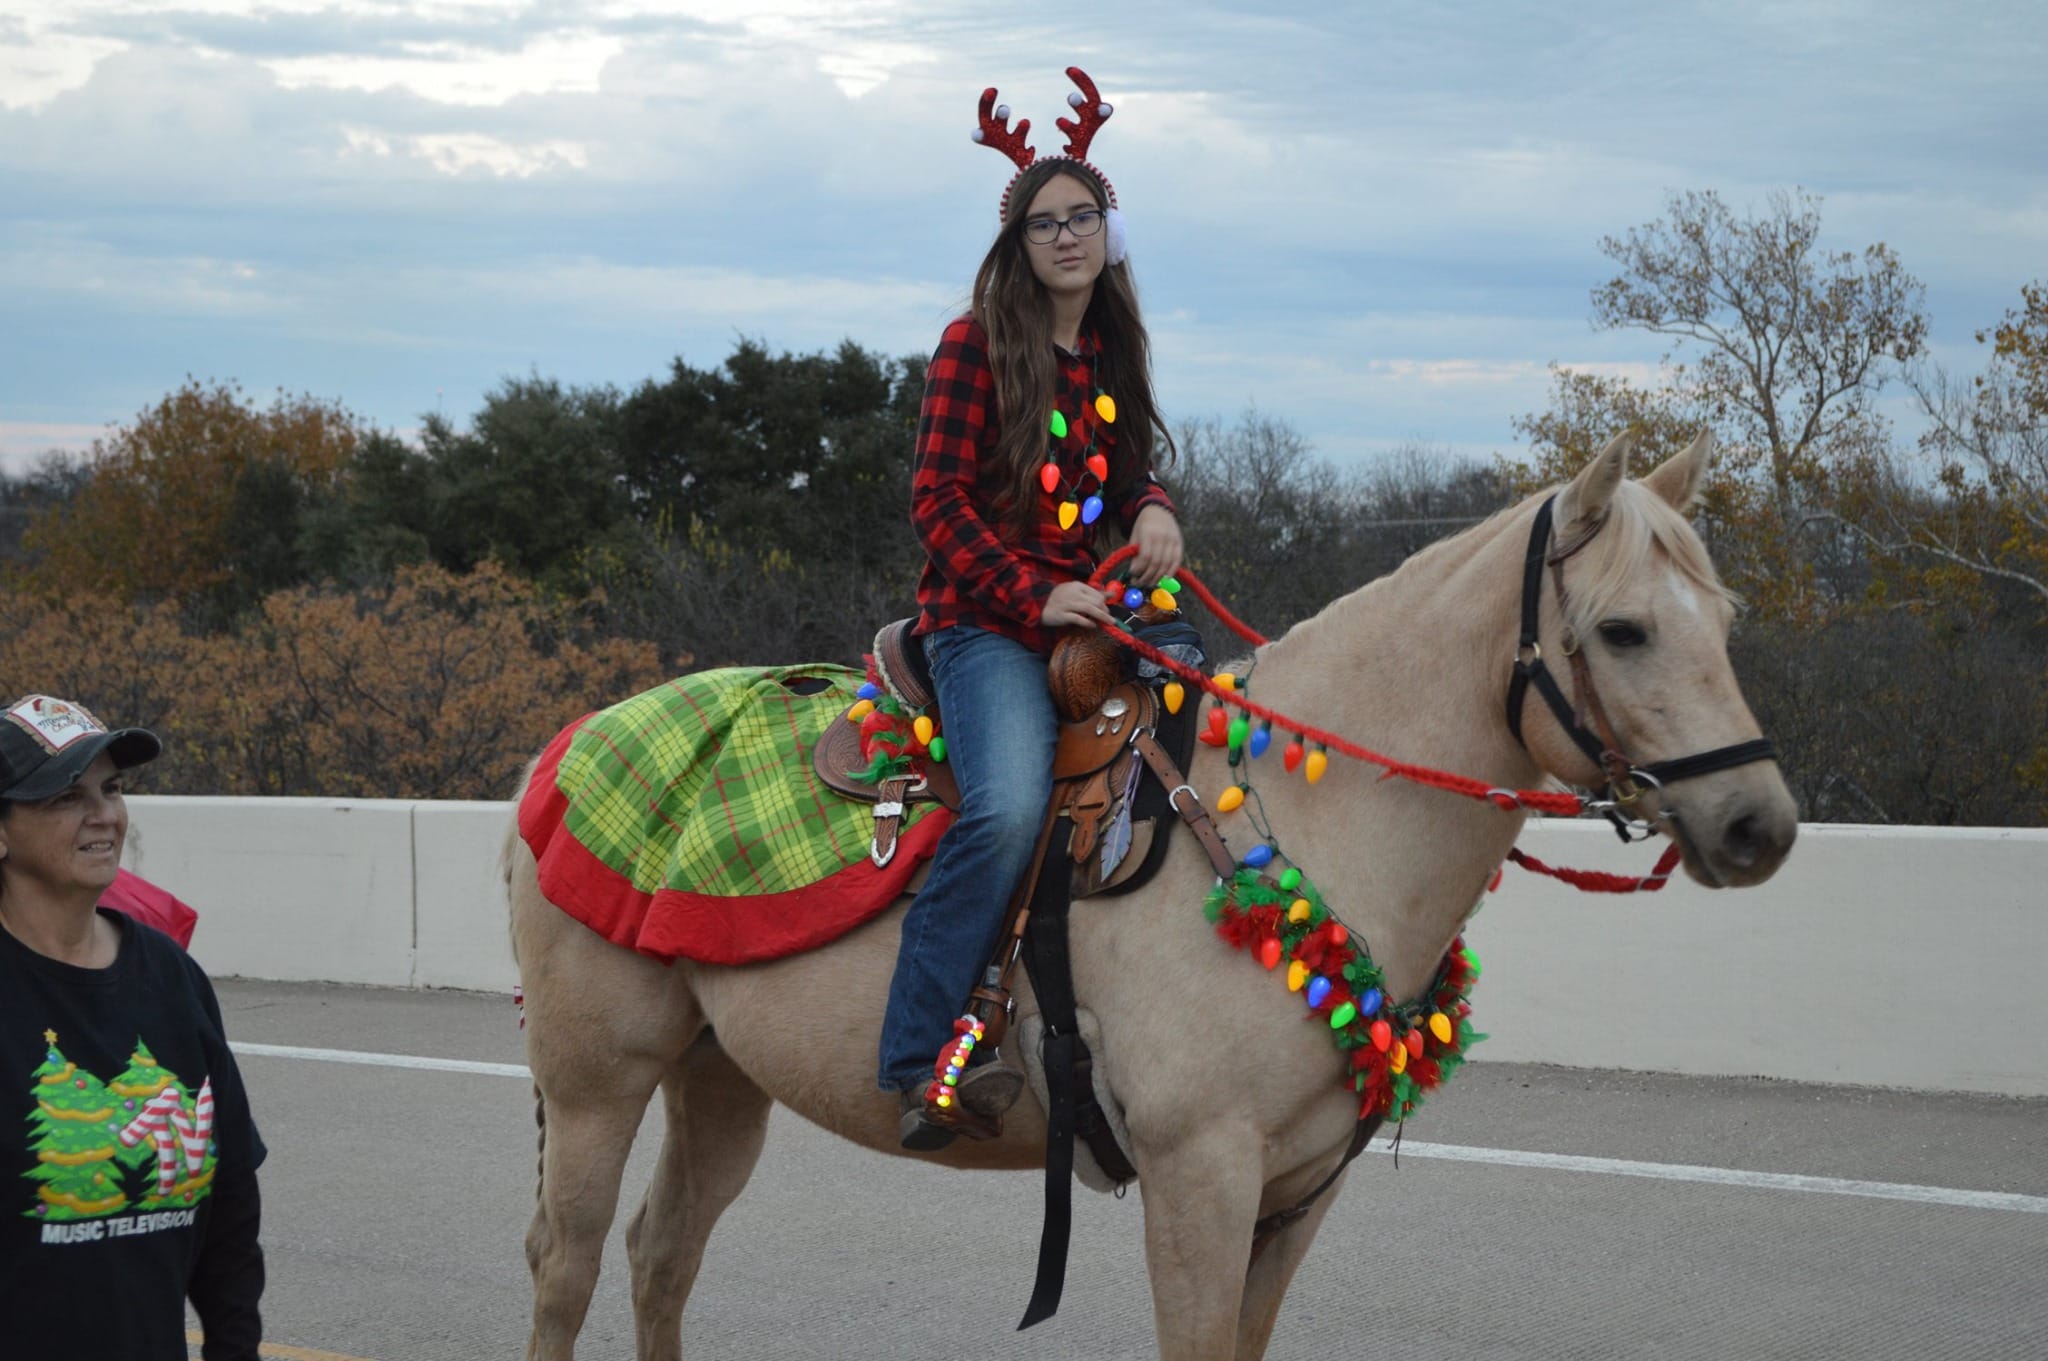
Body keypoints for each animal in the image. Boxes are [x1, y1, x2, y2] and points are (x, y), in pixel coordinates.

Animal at [507, 431, 1794, 1358]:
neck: (1300, 829)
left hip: (717, 1076)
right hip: (595, 1080)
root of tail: (564, 746)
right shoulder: (1198, 1177)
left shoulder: (1294, 1194)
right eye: (1621, 629)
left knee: (662, 1254)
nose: (1758, 825)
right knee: (567, 1264)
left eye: (1726, 619)